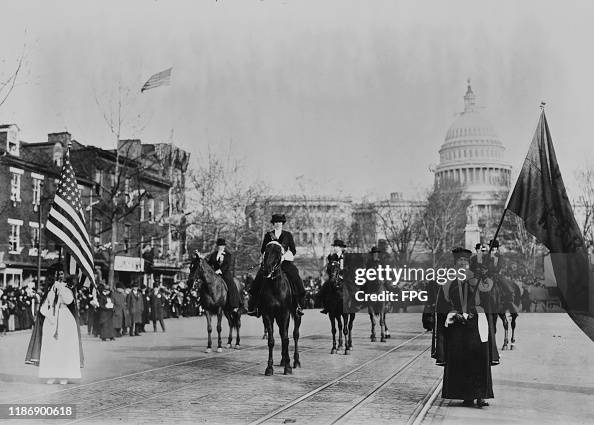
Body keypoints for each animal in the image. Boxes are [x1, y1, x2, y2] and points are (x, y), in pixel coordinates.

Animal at [260, 240, 300, 376]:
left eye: (278, 252)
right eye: (266, 251)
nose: (266, 269)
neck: (275, 286)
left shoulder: (285, 314)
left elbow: (286, 339)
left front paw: (288, 367)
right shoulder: (268, 315)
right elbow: (271, 340)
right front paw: (269, 367)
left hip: (296, 314)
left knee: (295, 334)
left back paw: (295, 361)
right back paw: (283, 360)